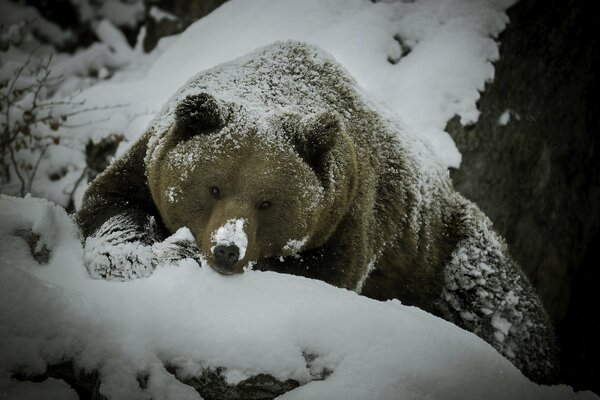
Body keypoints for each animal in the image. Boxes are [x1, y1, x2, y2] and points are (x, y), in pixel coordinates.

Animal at [77, 40, 560, 384]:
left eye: (267, 201)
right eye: (213, 187)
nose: (227, 249)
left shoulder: (347, 216)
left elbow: (319, 275)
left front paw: (179, 253)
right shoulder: (146, 164)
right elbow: (111, 206)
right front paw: (140, 253)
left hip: (444, 250)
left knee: (498, 304)